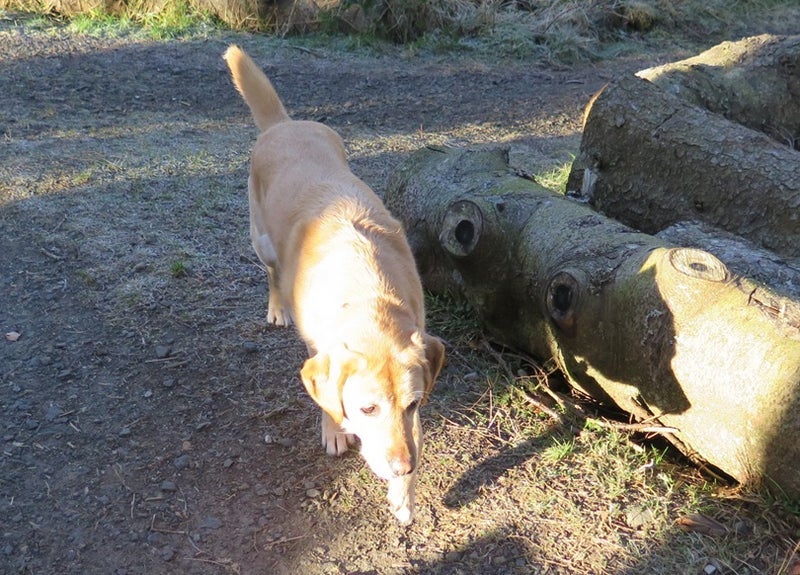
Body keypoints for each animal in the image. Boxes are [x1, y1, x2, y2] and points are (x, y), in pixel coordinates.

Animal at [223, 45, 445, 524]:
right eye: (367, 408)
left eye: (413, 403)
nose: (402, 466)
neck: (368, 292)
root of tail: (284, 124)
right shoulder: (318, 350)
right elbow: (324, 397)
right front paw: (335, 431)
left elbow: (416, 437)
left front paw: (404, 496)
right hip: (261, 241)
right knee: (272, 274)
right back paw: (276, 308)